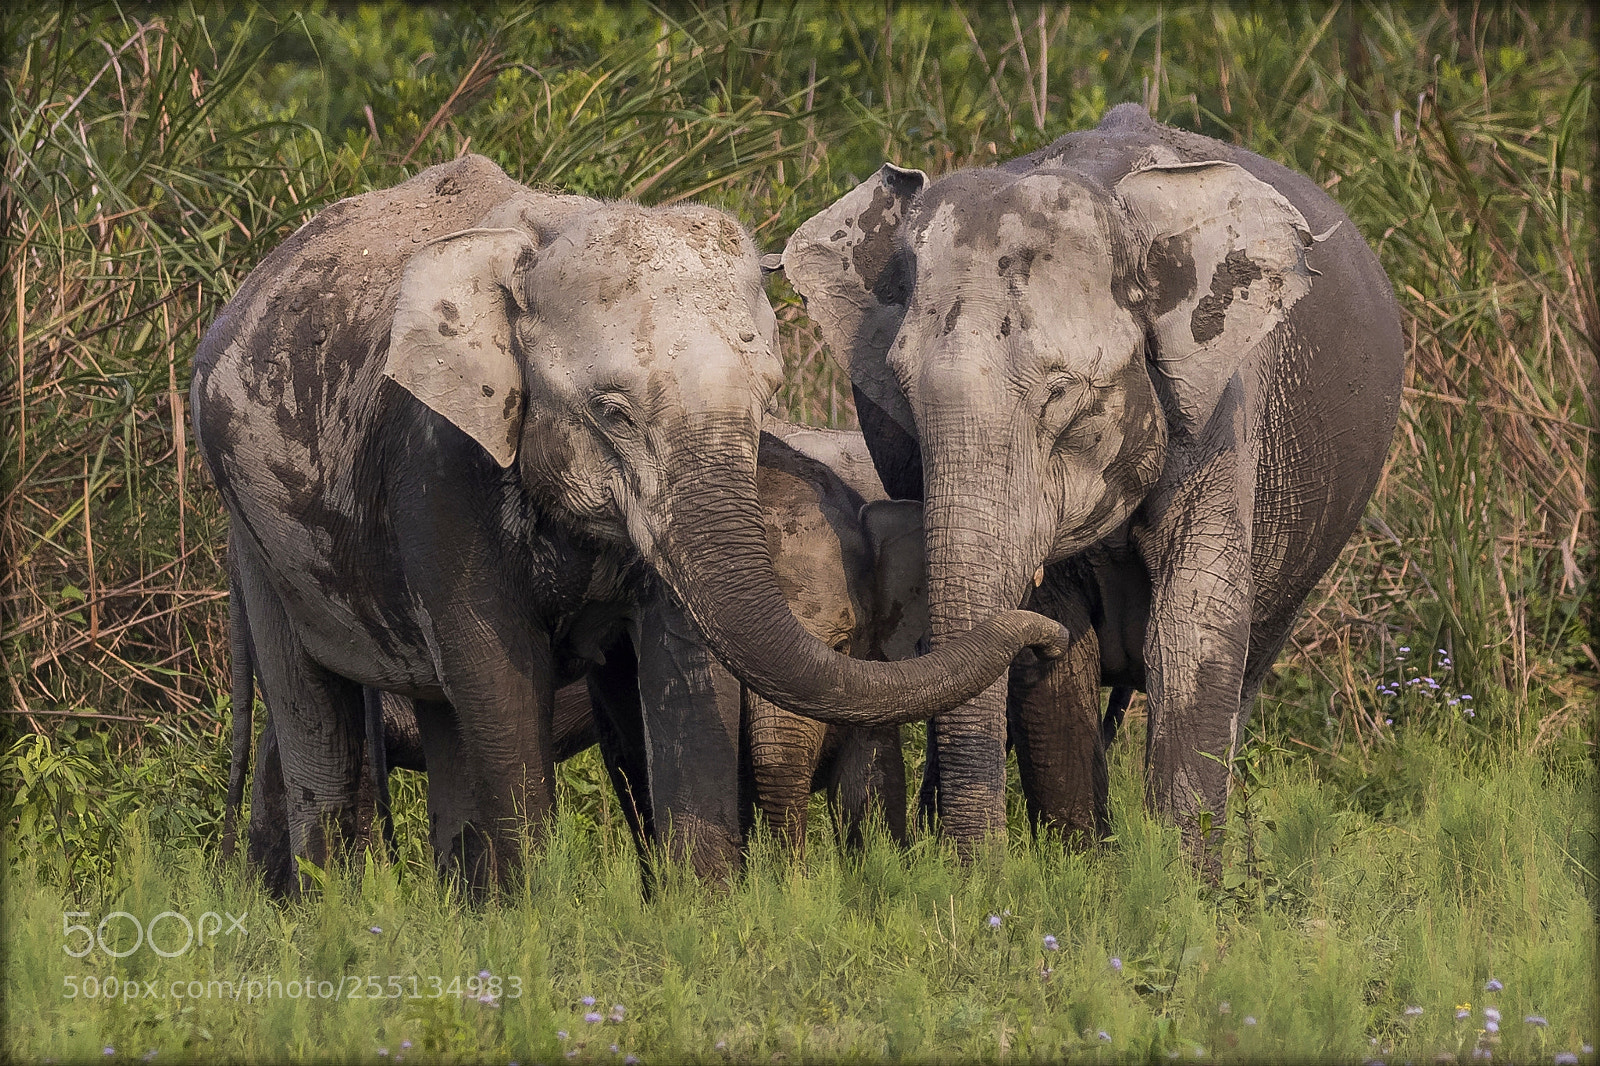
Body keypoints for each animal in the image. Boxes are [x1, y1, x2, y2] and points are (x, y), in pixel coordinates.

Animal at [190, 152, 1061, 891]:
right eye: (613, 411)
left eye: (767, 396)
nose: (1046, 633)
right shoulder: (436, 453)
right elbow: (495, 663)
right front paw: (539, 915)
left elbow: (681, 659)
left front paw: (703, 907)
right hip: (256, 534)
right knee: (317, 712)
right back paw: (343, 908)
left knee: (440, 715)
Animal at [783, 103, 1404, 855]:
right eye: (899, 395)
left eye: (1062, 395)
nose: (975, 869)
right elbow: (1058, 653)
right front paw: (1080, 863)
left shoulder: (1224, 411)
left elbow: (1194, 626)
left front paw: (1179, 877)